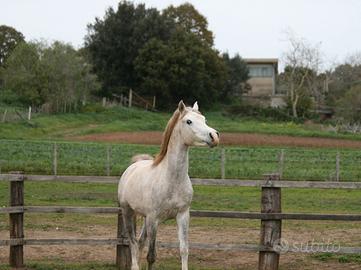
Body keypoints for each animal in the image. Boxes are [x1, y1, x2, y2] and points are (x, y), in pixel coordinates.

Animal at [118, 100, 219, 270]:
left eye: (204, 119)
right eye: (189, 121)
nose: (214, 136)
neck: (171, 180)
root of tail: (132, 167)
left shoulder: (183, 215)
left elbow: (184, 249)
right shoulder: (153, 219)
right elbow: (151, 256)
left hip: (145, 218)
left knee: (140, 242)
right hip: (128, 212)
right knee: (133, 242)